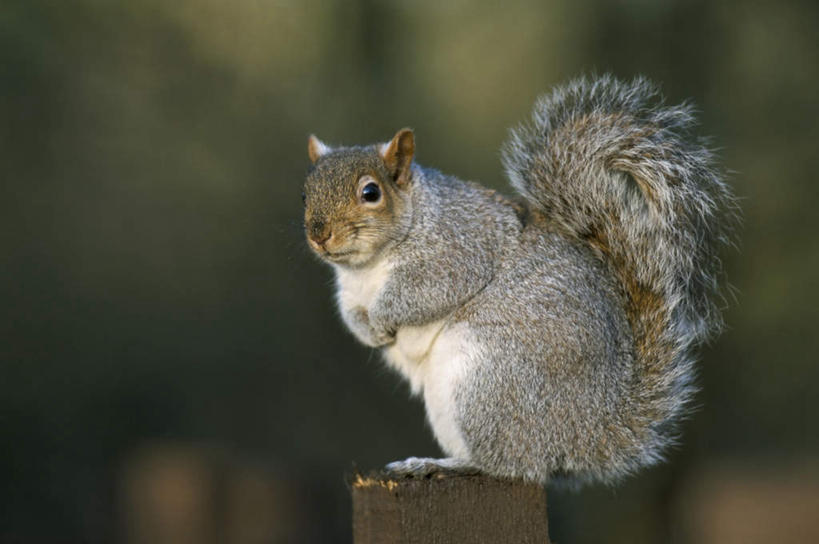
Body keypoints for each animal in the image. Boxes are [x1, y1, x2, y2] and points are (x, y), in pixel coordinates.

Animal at [304, 73, 740, 484]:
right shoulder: (349, 290)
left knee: (509, 465)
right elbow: (350, 315)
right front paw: (369, 331)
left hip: (488, 383)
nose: (318, 233)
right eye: (306, 192)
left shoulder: (457, 251)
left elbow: (424, 292)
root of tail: (588, 433)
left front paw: (382, 319)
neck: (368, 267)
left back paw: (437, 463)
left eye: (371, 192)